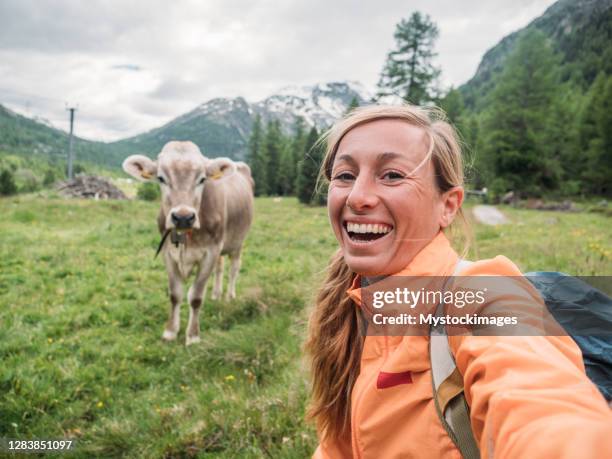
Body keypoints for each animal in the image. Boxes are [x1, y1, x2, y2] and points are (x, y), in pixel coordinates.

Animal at [123, 140, 255, 344]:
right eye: (161, 178)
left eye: (202, 179)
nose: (183, 217)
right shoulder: (168, 253)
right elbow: (175, 294)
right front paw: (170, 331)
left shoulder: (211, 251)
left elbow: (196, 297)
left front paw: (192, 335)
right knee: (220, 268)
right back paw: (216, 294)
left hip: (239, 241)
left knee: (234, 268)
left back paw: (229, 296)